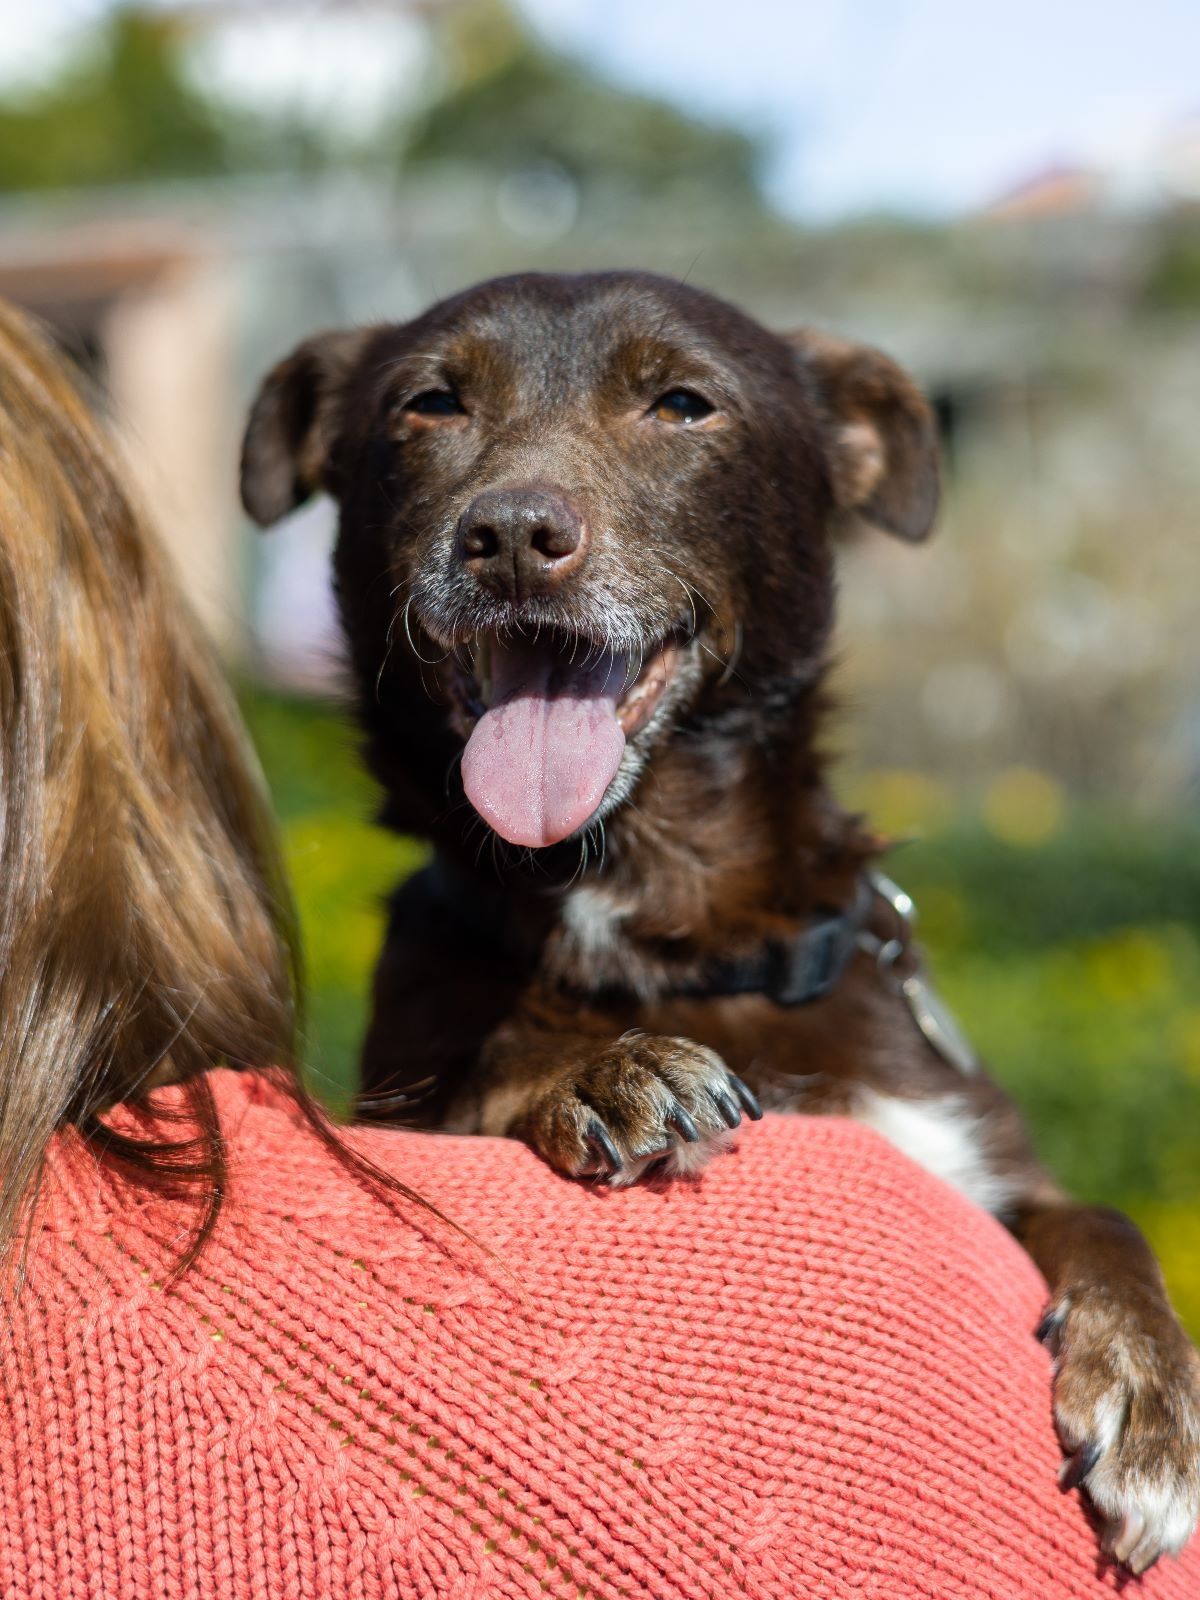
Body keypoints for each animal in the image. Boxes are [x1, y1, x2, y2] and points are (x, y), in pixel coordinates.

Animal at [244, 268, 1200, 1568]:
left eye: (685, 403)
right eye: (430, 403)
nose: (511, 537)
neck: (663, 915)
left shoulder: (969, 1153)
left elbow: (1099, 1212)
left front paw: (1146, 1385)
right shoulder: (402, 1093)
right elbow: (490, 1064)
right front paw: (600, 1067)